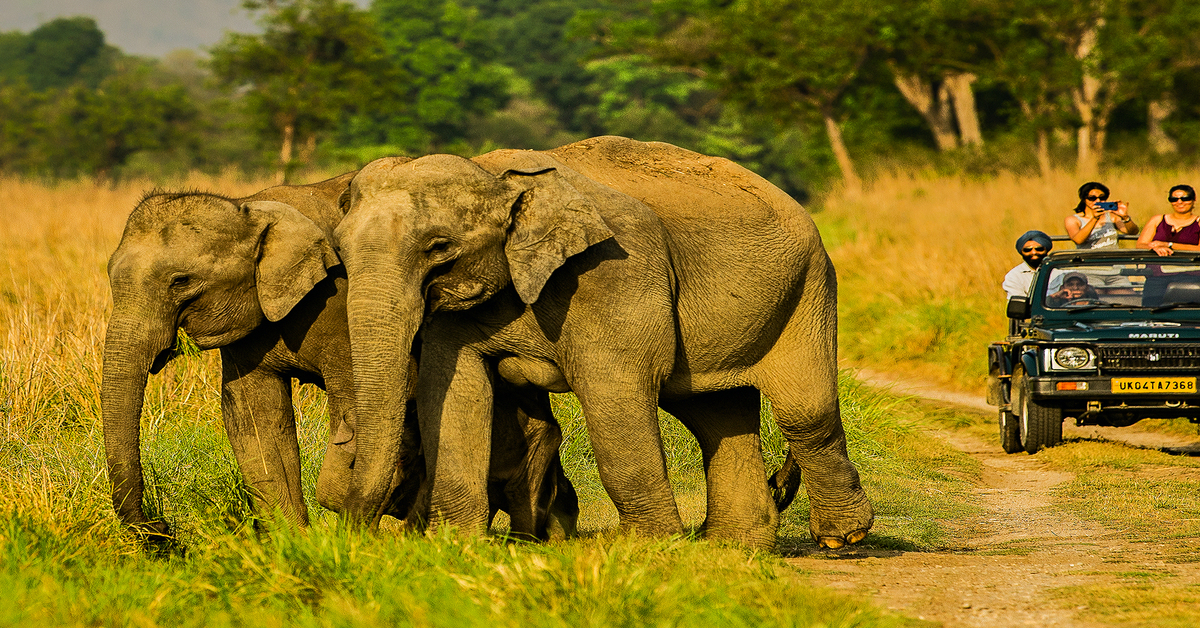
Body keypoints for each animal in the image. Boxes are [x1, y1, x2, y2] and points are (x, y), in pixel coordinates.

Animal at [101, 171, 577, 541]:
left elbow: (358, 407)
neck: (250, 209)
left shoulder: (339, 302)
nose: (163, 530)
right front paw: (293, 547)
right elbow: (254, 419)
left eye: (180, 281)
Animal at [332, 135, 874, 550]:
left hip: (807, 286)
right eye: (339, 249)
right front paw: (455, 546)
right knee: (717, 415)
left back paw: (840, 538)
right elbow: (454, 395)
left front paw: (647, 548)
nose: (358, 532)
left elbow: (614, 393)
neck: (498, 175)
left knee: (804, 411)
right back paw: (735, 548)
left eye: (439, 247)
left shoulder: (614, 272)